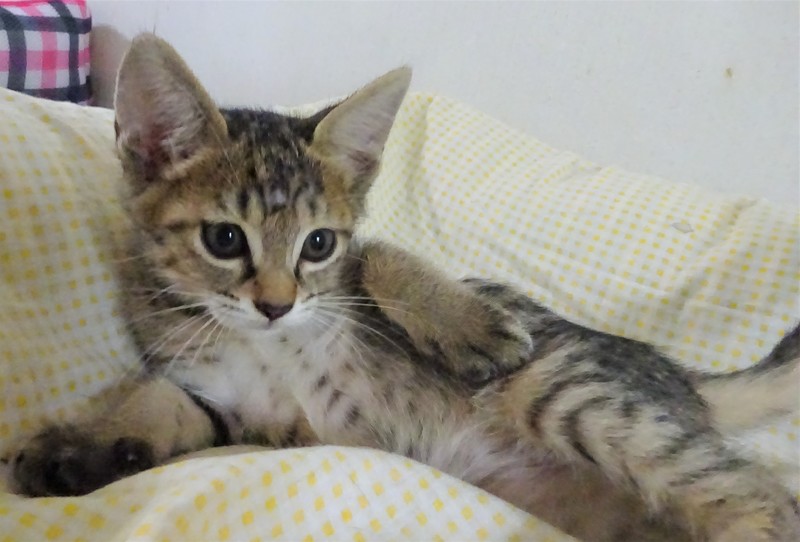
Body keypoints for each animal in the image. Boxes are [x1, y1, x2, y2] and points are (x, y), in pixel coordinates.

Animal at [11, 34, 800, 542]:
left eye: (318, 244)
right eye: (225, 240)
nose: (275, 305)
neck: (260, 344)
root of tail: (684, 380)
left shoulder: (348, 290)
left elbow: (380, 257)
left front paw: (472, 324)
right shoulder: (227, 406)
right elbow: (160, 402)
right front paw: (81, 449)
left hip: (576, 396)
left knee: (761, 493)